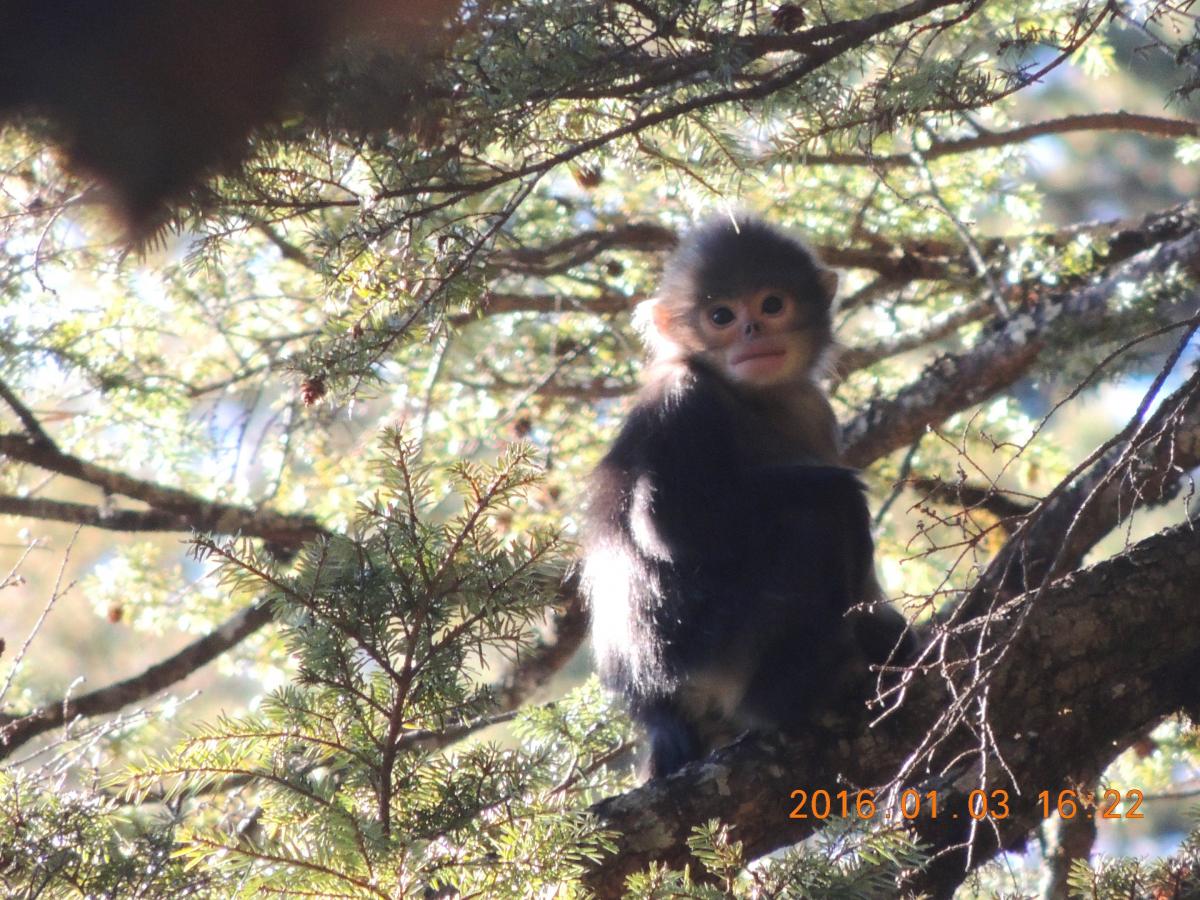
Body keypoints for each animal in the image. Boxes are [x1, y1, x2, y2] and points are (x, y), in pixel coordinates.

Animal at [580, 214, 907, 777]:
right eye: (721, 316)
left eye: (772, 304)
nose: (752, 330)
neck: (749, 398)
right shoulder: (681, 399)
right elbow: (668, 525)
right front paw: (840, 486)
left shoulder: (813, 406)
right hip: (713, 650)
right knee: (817, 518)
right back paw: (786, 695)